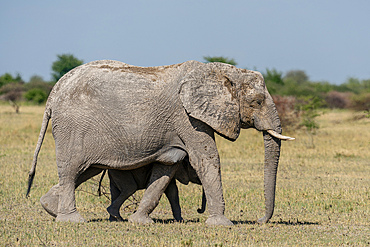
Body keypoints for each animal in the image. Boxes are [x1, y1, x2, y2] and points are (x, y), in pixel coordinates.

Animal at [26, 59, 294, 226]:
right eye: (256, 102)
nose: (260, 220)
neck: (216, 72)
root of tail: (54, 92)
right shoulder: (186, 117)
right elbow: (206, 159)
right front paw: (222, 224)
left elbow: (167, 167)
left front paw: (140, 221)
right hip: (72, 127)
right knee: (72, 170)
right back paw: (71, 219)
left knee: (85, 170)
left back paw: (50, 207)